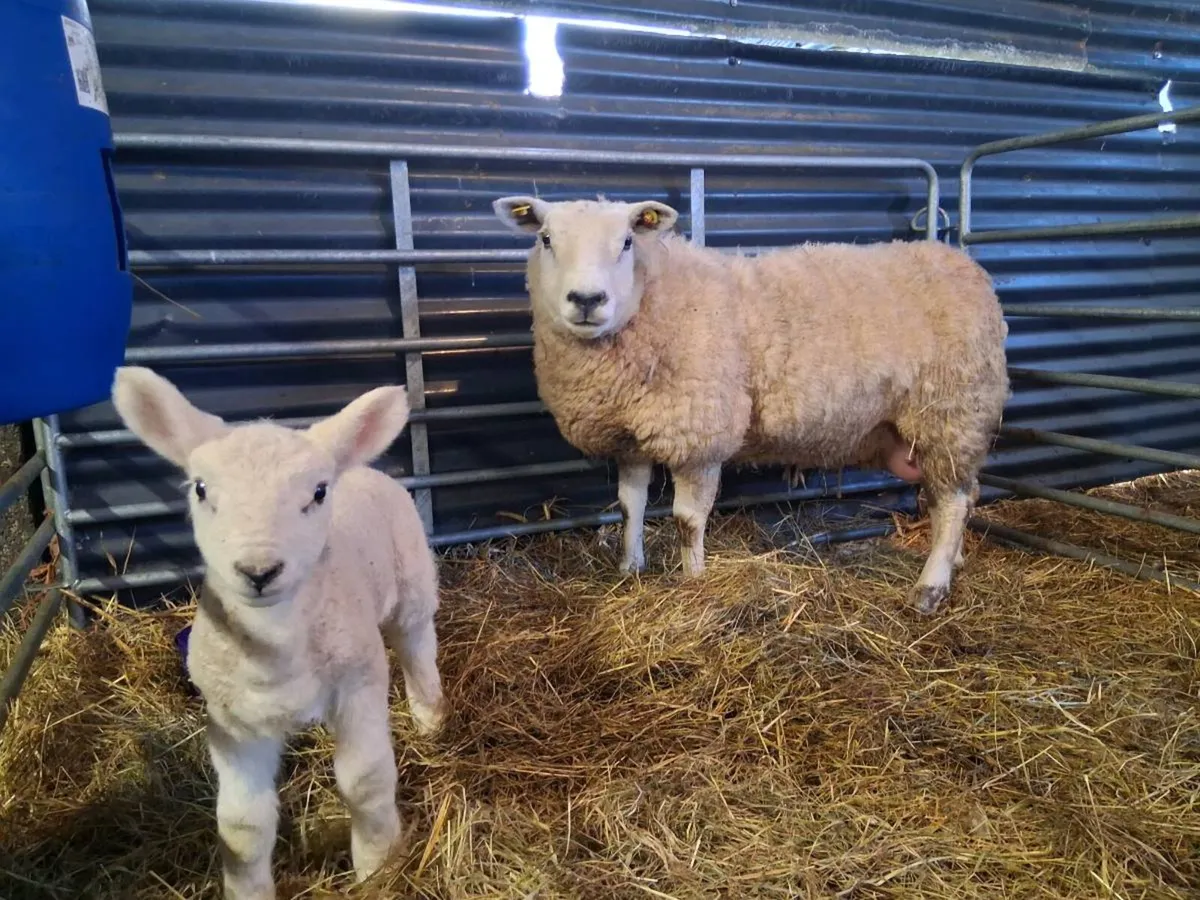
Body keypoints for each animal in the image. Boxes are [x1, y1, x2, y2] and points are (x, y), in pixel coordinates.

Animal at [112, 367, 446, 900]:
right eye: (200, 489)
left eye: (318, 492)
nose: (259, 571)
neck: (276, 654)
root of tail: (362, 468)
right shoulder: (231, 722)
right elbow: (242, 827)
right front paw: (247, 889)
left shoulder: (358, 684)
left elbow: (365, 783)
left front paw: (378, 867)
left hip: (412, 584)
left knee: (417, 650)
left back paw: (430, 719)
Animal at [492, 196, 1009, 615]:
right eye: (545, 238)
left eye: (626, 242)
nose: (586, 299)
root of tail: (964, 264)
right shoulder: (629, 437)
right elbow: (628, 506)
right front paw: (630, 567)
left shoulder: (701, 434)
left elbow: (686, 522)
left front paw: (694, 581)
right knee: (956, 498)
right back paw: (956, 560)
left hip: (951, 412)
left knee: (954, 503)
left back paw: (930, 587)